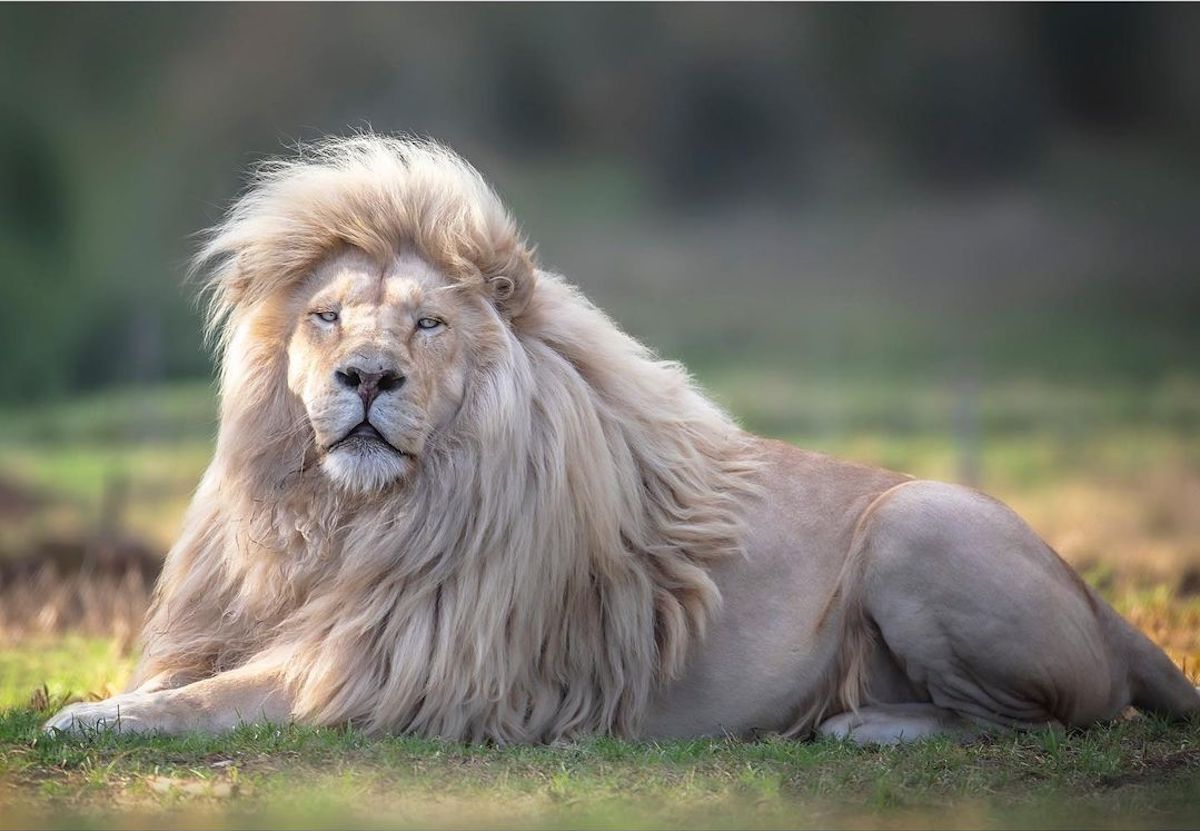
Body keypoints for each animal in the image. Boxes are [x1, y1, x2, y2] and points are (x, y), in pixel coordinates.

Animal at [42, 138, 1195, 744]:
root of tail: (1097, 597)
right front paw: (101, 699)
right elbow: (184, 680)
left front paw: (80, 718)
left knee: (1053, 717)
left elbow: (207, 701)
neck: (344, 516)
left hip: (920, 519)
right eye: (327, 317)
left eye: (428, 324)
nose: (365, 379)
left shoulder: (388, 671)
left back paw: (862, 723)